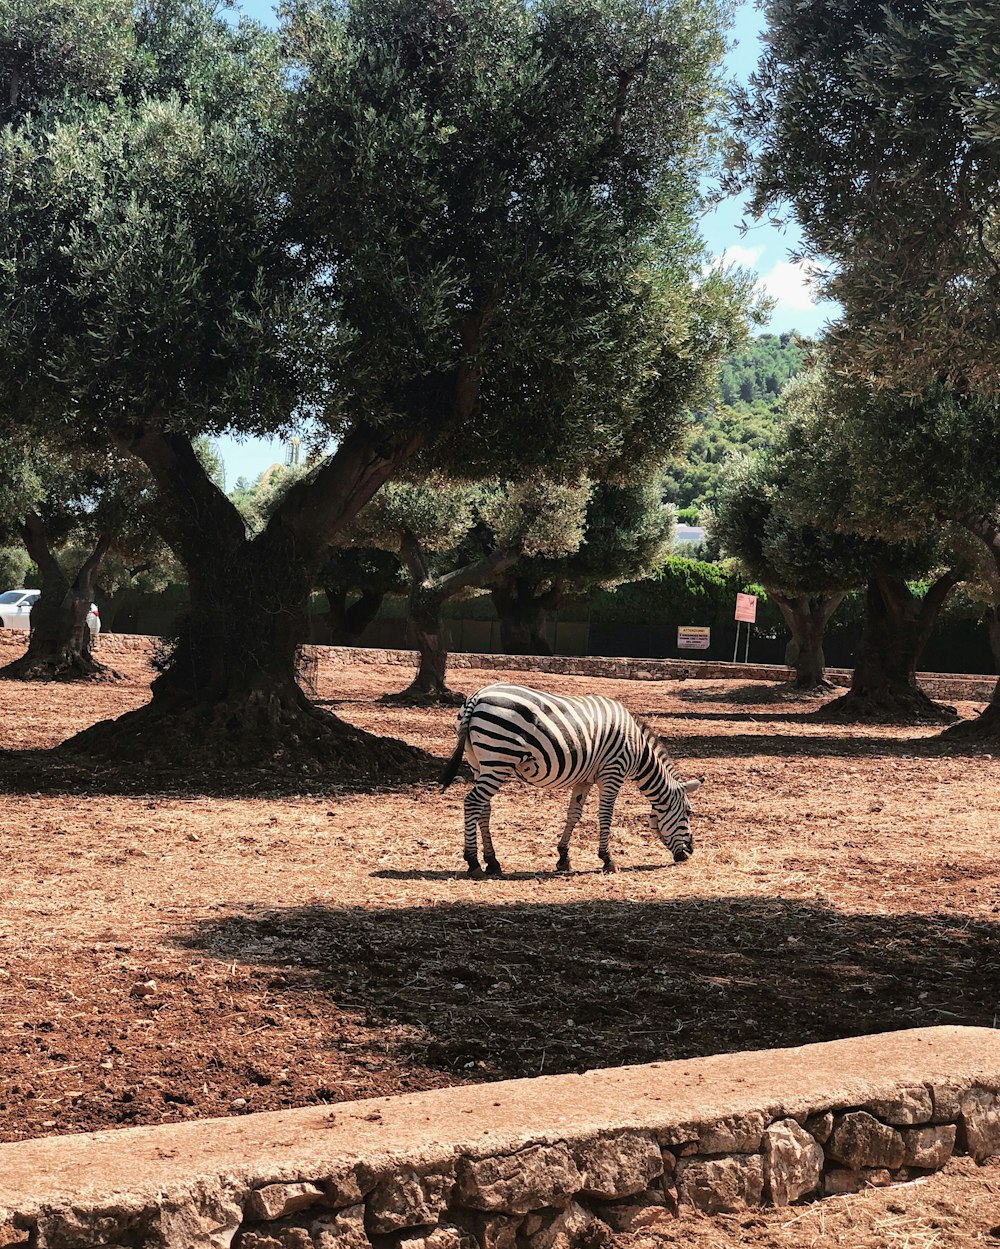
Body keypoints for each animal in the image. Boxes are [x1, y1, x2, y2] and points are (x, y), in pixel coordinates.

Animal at [436, 684, 704, 879]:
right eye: (688, 812)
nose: (690, 853)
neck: (638, 750)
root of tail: (477, 696)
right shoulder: (612, 772)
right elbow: (605, 815)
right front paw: (608, 859)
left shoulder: (584, 779)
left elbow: (574, 814)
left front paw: (563, 857)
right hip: (498, 759)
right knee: (473, 802)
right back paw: (473, 862)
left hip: (479, 763)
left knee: (484, 808)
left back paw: (492, 862)